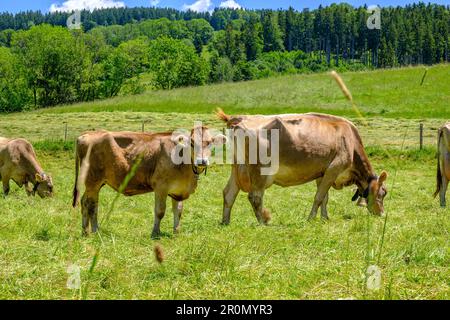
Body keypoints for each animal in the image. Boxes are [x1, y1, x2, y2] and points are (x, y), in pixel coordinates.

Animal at [74, 128, 229, 238]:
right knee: (91, 205)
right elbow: (160, 211)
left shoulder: (178, 190)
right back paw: (95, 231)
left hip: (95, 184)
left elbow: (178, 211)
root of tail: (87, 134)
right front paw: (155, 232)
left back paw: (85, 231)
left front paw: (176, 231)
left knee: (85, 202)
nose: (201, 161)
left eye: (210, 142)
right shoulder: (161, 187)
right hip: (93, 181)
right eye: (191, 143)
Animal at [216, 109, 388, 224]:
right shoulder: (335, 167)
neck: (351, 141)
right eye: (382, 193)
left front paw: (325, 218)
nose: (382, 214)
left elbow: (325, 198)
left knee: (228, 193)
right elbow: (319, 197)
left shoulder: (323, 172)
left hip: (237, 167)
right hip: (260, 170)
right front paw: (311, 219)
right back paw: (264, 222)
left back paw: (225, 222)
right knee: (255, 197)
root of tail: (238, 118)